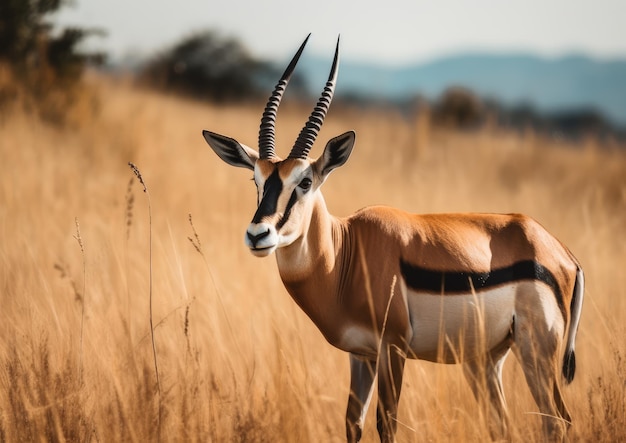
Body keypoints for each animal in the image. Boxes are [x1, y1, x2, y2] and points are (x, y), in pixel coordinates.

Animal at [202, 35, 584, 443]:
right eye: (256, 180)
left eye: (304, 182)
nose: (259, 234)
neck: (345, 254)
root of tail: (561, 253)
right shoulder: (362, 355)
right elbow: (352, 424)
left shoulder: (393, 348)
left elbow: (387, 424)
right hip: (486, 359)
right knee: (505, 424)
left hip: (535, 353)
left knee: (558, 420)